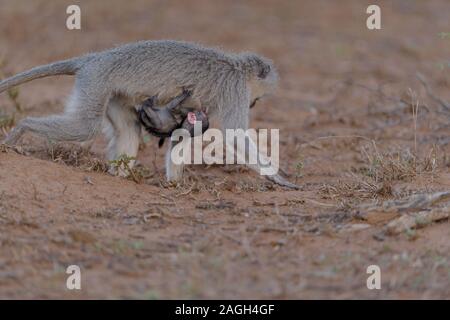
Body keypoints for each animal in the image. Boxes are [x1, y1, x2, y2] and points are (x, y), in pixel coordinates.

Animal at [0, 40, 298, 190]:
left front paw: (175, 183)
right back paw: (20, 129)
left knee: (128, 130)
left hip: (112, 93)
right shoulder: (234, 89)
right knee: (85, 126)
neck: (237, 67)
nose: (254, 104)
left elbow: (182, 135)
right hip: (94, 81)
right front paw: (276, 177)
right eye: (256, 98)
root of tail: (94, 58)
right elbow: (235, 136)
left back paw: (119, 175)